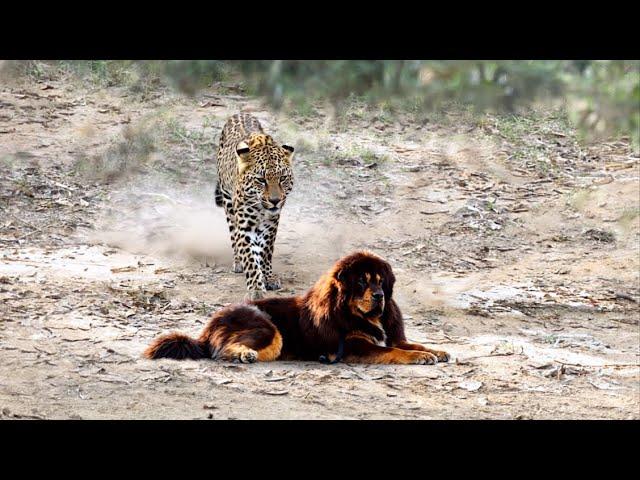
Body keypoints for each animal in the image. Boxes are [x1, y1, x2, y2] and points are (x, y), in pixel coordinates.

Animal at [144, 251, 450, 364]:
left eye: (380, 281)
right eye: (362, 281)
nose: (379, 296)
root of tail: (209, 325)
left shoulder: (393, 335)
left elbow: (411, 344)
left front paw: (436, 351)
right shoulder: (354, 346)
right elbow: (393, 351)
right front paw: (419, 357)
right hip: (268, 328)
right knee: (221, 350)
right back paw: (243, 354)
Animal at [215, 113, 296, 300]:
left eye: (282, 178)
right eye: (261, 180)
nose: (275, 200)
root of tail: (241, 113)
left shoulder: (272, 224)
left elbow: (266, 251)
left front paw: (268, 277)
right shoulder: (245, 226)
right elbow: (249, 257)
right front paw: (256, 289)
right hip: (227, 201)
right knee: (234, 236)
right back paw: (238, 262)